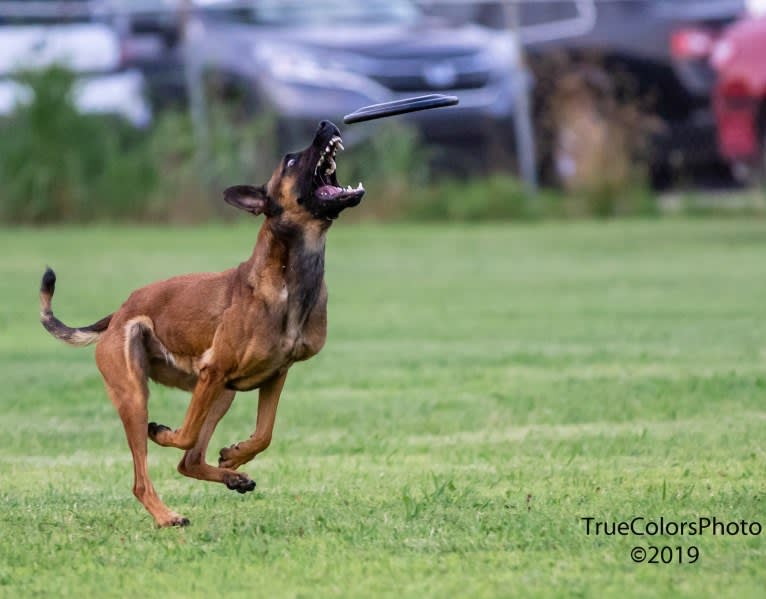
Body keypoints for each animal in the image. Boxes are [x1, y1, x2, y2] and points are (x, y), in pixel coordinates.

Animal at [39, 120, 366, 524]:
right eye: (290, 161)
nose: (327, 124)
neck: (289, 277)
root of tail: (118, 313)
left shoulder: (274, 374)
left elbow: (264, 433)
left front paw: (236, 455)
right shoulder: (214, 371)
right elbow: (186, 434)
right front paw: (165, 433)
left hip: (222, 392)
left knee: (189, 461)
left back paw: (231, 477)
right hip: (138, 395)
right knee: (145, 476)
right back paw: (166, 515)